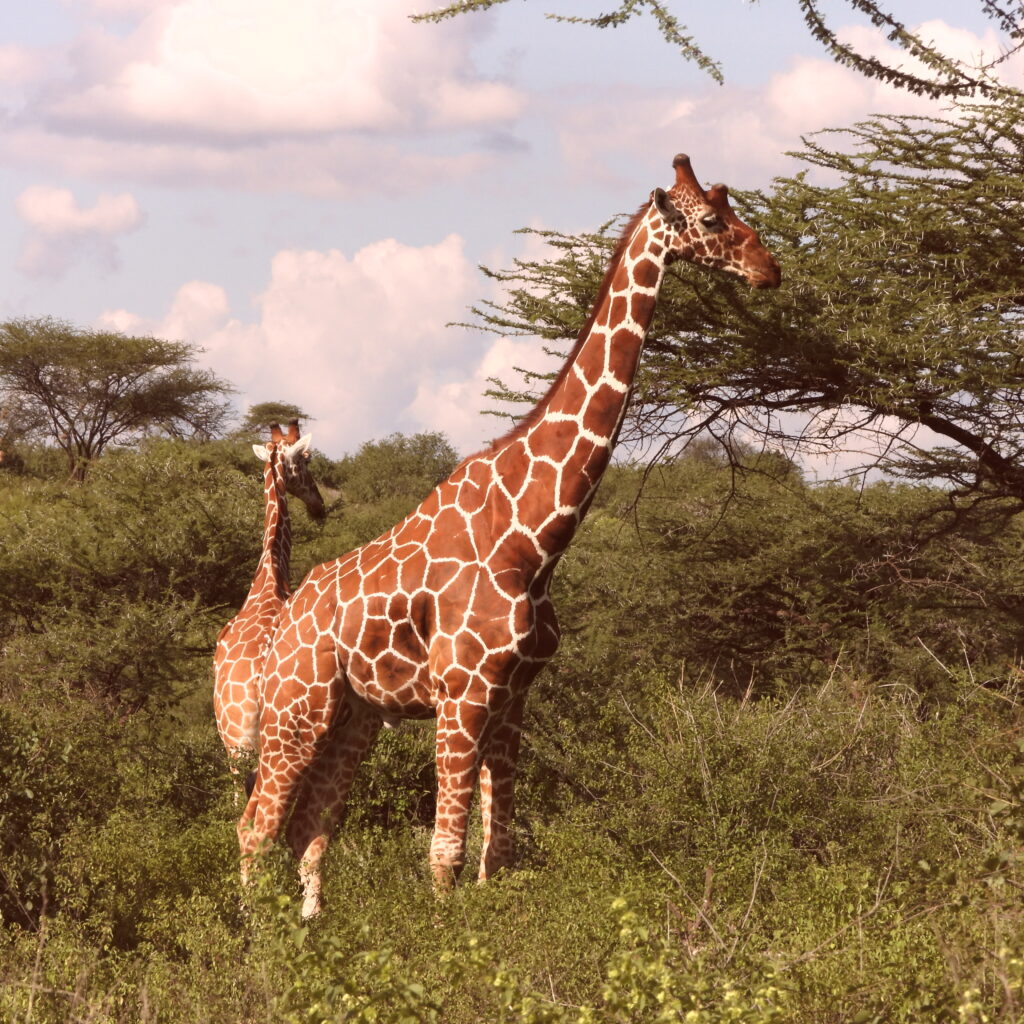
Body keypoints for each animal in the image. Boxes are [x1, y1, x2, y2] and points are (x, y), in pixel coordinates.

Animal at [239, 154, 781, 917]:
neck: (534, 540)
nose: (770, 268)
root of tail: (283, 621)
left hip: (355, 717)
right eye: (710, 219)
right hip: (297, 709)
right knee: (254, 828)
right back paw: (251, 940)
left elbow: (499, 853)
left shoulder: (514, 695)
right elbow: (445, 854)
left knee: (308, 828)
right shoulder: (464, 693)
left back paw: (309, 933)